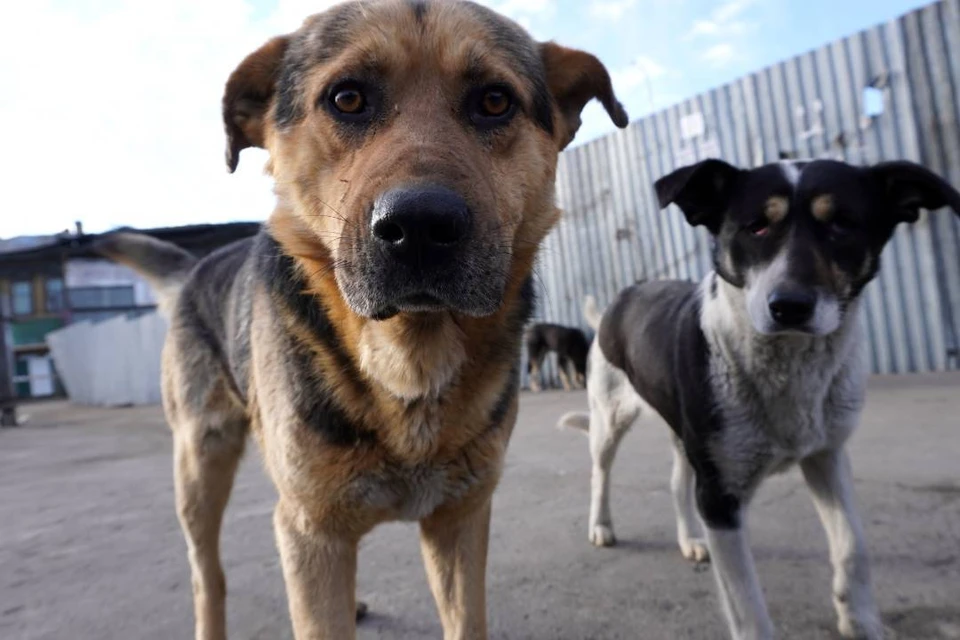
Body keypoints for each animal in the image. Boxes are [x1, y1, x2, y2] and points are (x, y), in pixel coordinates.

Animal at [97, 1, 632, 640]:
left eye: (494, 101)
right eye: (347, 98)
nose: (420, 227)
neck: (408, 361)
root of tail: (197, 266)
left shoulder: (459, 519)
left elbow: (464, 617)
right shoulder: (312, 528)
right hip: (201, 466)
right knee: (209, 575)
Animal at [564, 156, 960, 640]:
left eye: (842, 224)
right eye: (756, 227)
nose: (789, 306)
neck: (789, 364)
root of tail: (620, 298)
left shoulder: (827, 455)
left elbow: (853, 543)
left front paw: (860, 620)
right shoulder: (720, 497)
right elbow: (748, 607)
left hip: (686, 434)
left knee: (677, 481)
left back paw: (690, 540)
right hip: (609, 416)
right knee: (600, 473)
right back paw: (601, 526)